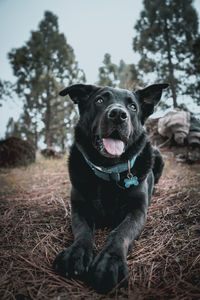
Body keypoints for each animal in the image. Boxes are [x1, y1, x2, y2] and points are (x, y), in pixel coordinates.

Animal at [53, 83, 169, 294]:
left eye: (132, 107)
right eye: (100, 100)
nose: (118, 114)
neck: (108, 170)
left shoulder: (138, 211)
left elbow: (120, 233)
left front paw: (109, 263)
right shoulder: (79, 208)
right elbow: (83, 232)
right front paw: (75, 255)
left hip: (158, 156)